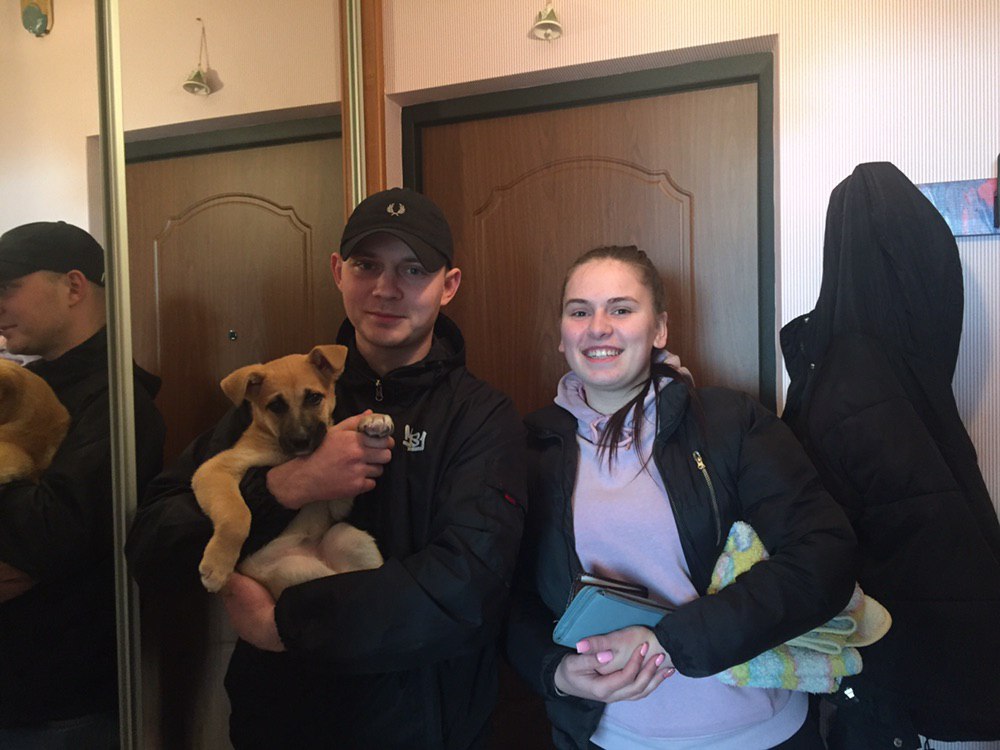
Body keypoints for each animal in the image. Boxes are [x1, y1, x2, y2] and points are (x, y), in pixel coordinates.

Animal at [192, 345, 392, 598]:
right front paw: (217, 566)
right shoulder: (214, 469)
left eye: (314, 398)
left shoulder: (337, 505)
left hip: (349, 537)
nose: (301, 440)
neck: (286, 454)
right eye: (276, 406)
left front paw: (372, 420)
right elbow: (238, 514)